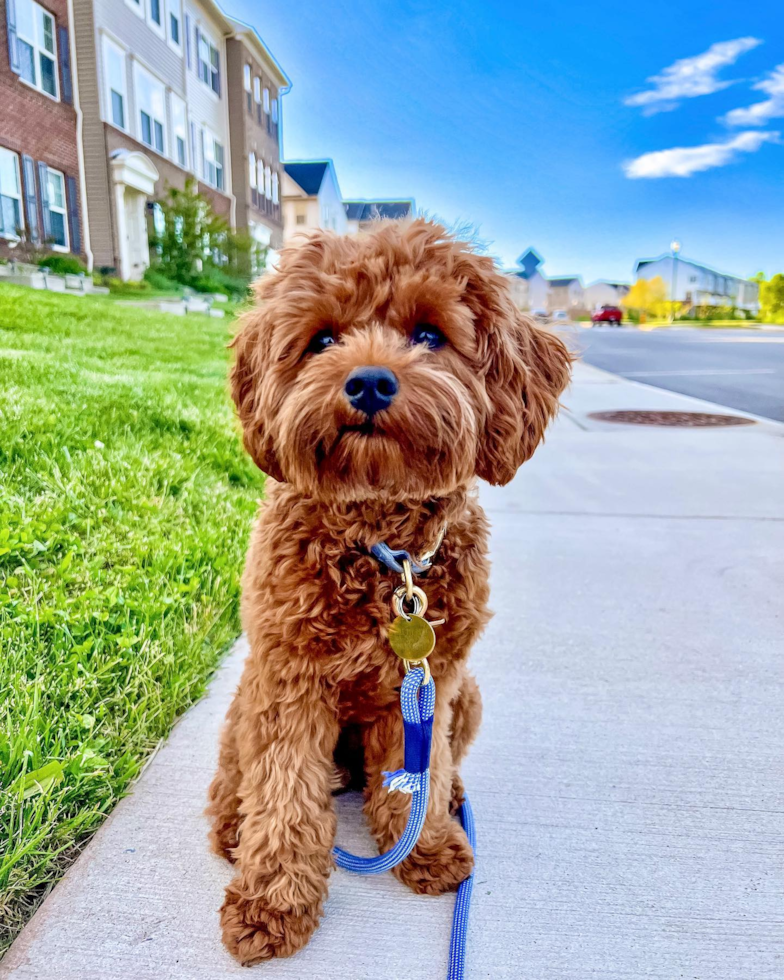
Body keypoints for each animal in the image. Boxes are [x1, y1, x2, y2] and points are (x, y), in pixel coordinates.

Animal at [207, 218, 576, 960]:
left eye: (429, 333)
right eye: (322, 339)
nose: (370, 383)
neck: (382, 548)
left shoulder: (435, 677)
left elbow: (419, 776)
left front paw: (426, 847)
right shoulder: (289, 681)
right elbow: (283, 794)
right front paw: (271, 903)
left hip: (468, 698)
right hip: (246, 698)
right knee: (238, 777)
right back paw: (233, 825)